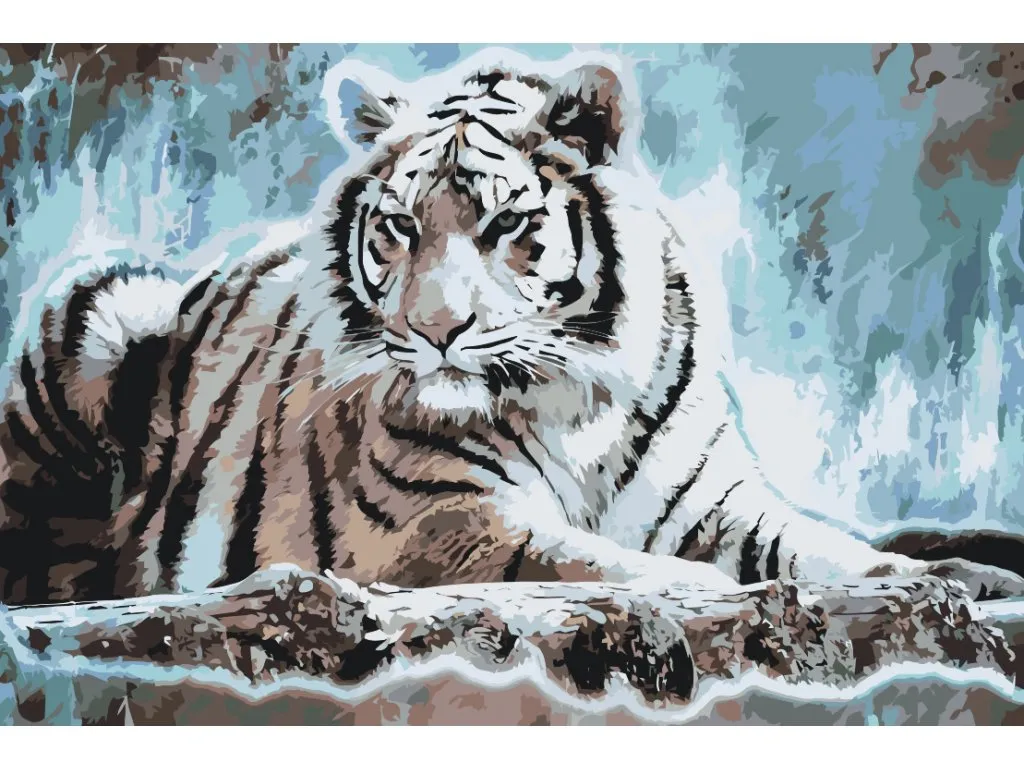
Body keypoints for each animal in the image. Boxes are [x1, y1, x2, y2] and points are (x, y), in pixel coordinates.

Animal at [1, 49, 1021, 606]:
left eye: (503, 224)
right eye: (400, 226)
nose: (436, 331)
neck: (578, 403)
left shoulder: (720, 505)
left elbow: (824, 547)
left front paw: (939, 579)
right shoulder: (447, 519)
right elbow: (591, 561)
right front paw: (713, 589)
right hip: (98, 301)